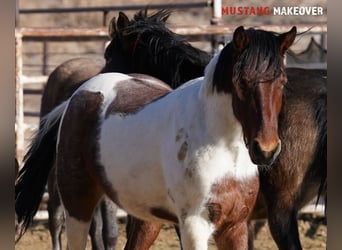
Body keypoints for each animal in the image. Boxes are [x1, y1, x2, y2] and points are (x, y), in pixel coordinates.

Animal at [14, 25, 296, 250]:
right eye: (242, 82)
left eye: (282, 81)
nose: (266, 150)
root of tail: (76, 97)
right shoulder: (194, 226)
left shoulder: (235, 226)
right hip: (78, 205)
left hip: (144, 217)